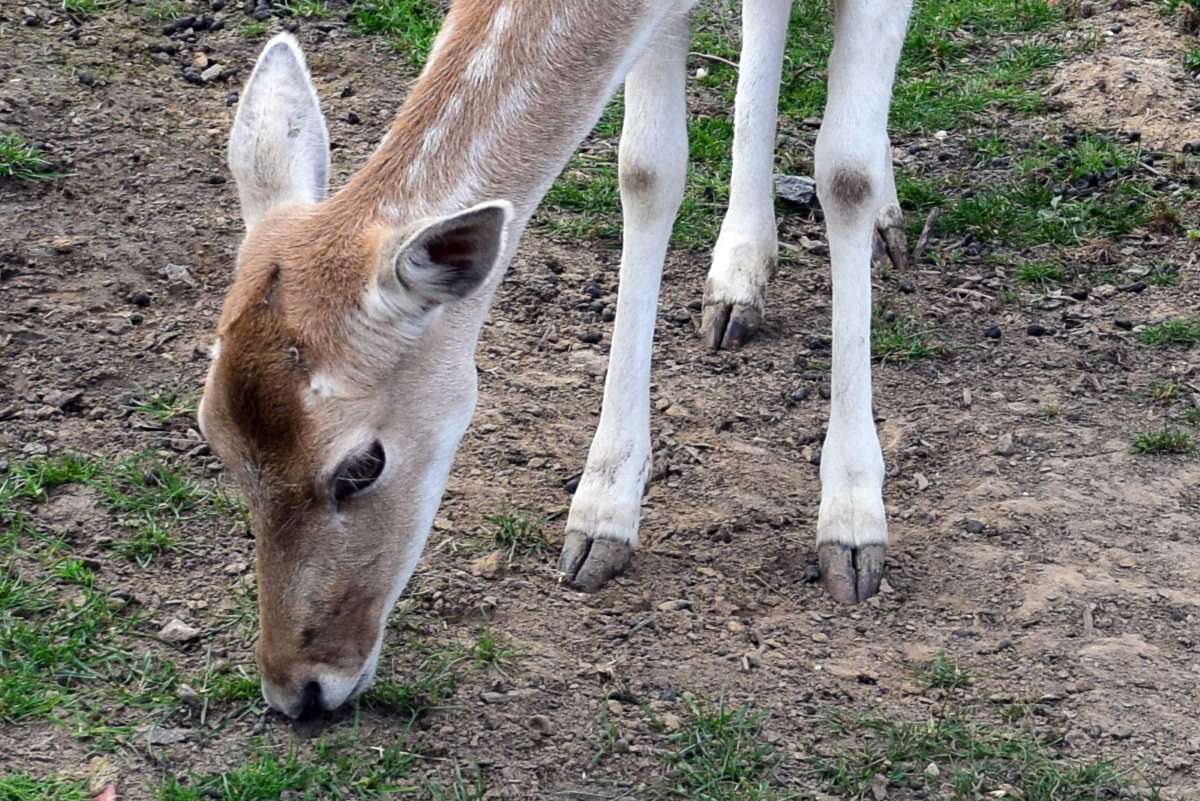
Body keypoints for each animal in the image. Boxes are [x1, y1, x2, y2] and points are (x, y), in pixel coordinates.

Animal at [199, 0, 907, 719]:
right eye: (214, 441)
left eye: (362, 465)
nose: (298, 689)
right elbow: (647, 169)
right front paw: (602, 513)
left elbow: (845, 174)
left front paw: (853, 526)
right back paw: (739, 276)